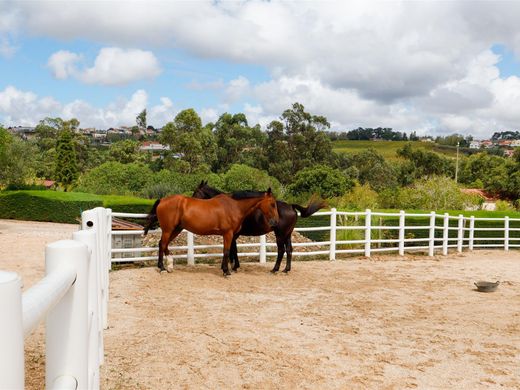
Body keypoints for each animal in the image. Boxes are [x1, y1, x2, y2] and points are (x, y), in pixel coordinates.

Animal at [142, 188, 280, 274]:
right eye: (272, 204)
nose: (276, 221)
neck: (234, 207)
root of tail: (162, 200)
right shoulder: (228, 234)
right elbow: (227, 251)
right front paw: (226, 271)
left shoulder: (229, 235)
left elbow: (227, 251)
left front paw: (226, 268)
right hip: (168, 230)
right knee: (162, 244)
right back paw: (162, 268)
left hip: (176, 229)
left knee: (163, 244)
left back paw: (169, 266)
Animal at [193, 181, 328, 272]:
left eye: (195, 192)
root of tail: (291, 206)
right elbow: (233, 249)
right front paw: (233, 266)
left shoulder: (232, 234)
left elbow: (232, 249)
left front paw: (231, 266)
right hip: (288, 235)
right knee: (289, 250)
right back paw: (286, 269)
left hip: (280, 235)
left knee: (281, 250)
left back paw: (275, 269)